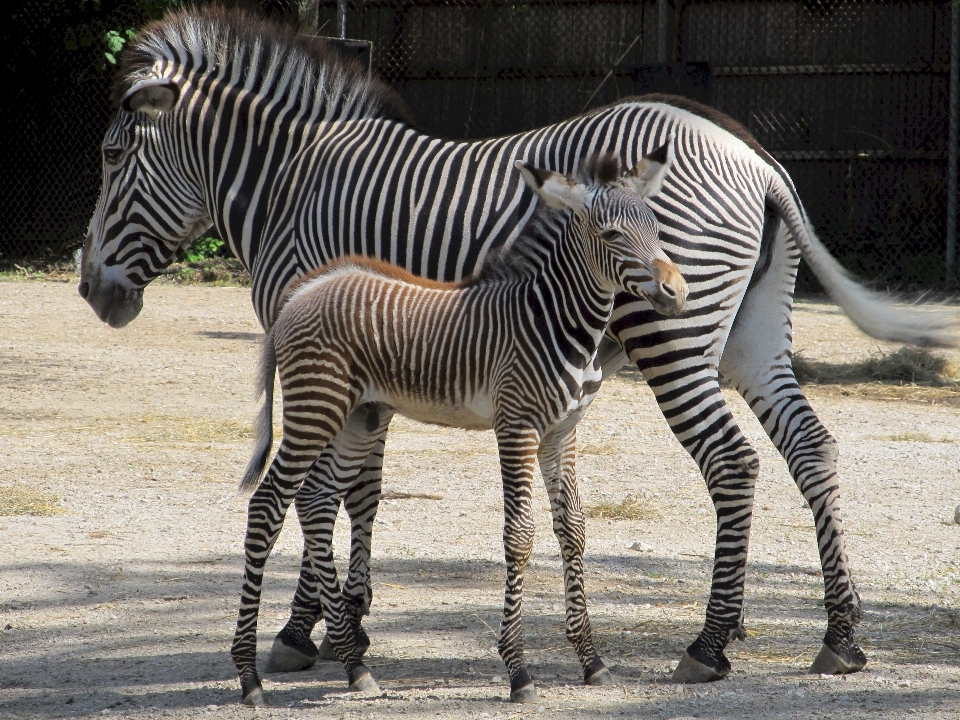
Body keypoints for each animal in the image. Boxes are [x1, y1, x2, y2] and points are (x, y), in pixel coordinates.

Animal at [231, 156, 684, 704]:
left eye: (657, 230)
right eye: (611, 234)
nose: (677, 292)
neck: (552, 321)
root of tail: (305, 289)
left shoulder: (562, 432)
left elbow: (573, 529)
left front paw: (591, 660)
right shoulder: (517, 426)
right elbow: (520, 535)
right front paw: (518, 671)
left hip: (359, 417)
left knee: (315, 502)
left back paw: (355, 666)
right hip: (315, 407)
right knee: (268, 503)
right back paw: (249, 677)